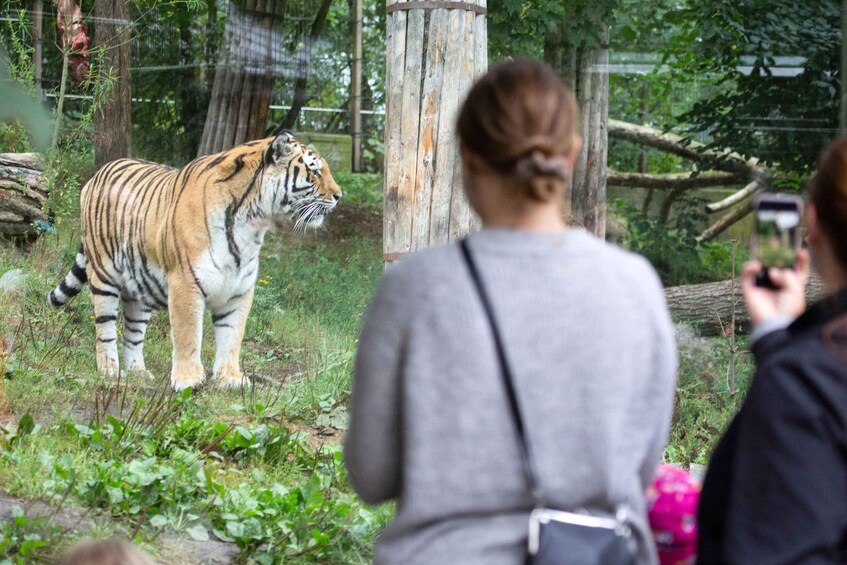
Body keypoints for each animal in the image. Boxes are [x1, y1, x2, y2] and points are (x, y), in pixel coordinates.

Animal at [47, 131, 342, 390]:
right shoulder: (185, 282)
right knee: (105, 329)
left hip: (139, 288)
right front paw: (188, 379)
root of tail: (96, 174)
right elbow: (188, 334)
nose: (339, 196)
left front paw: (230, 378)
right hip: (104, 276)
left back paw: (138, 373)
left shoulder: (239, 289)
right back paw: (109, 370)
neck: (252, 223)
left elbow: (232, 336)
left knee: (133, 333)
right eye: (314, 171)